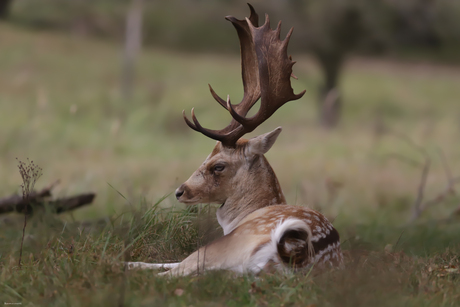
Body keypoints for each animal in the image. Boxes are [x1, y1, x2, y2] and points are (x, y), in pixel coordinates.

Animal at [127, 4, 344, 276]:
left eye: (218, 165)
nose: (179, 191)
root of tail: (293, 256)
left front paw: (128, 263)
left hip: (223, 247)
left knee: (175, 274)